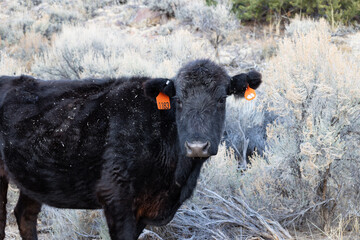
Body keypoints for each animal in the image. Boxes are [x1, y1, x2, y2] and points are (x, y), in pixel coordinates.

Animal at [0, 59, 260, 239]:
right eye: (178, 100)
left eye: (221, 99)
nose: (197, 145)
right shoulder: (116, 198)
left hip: (32, 178)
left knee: (24, 215)